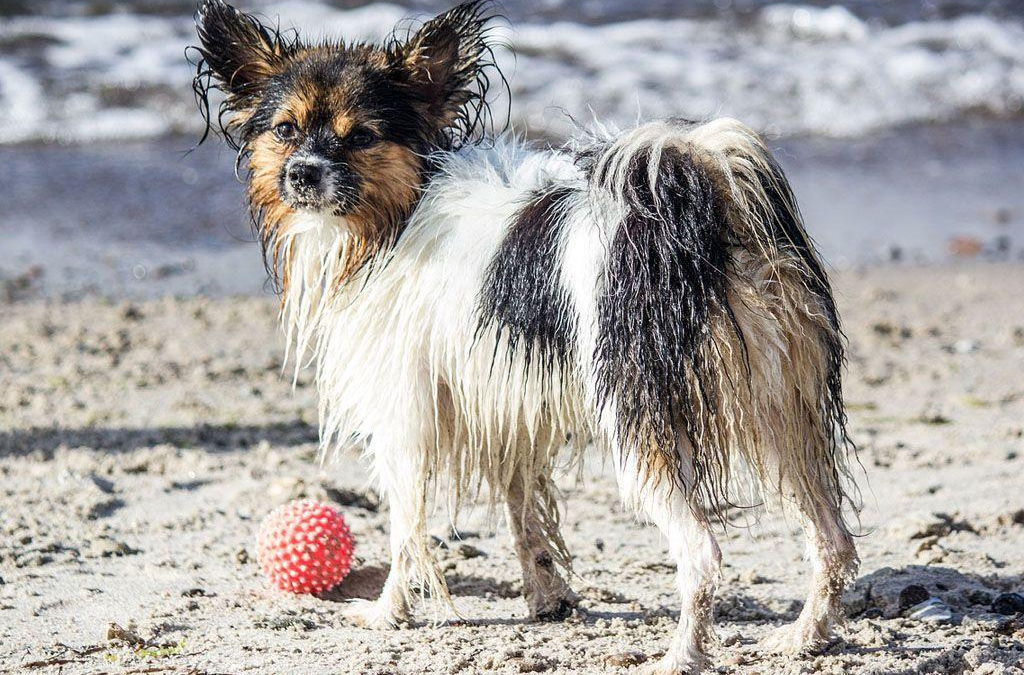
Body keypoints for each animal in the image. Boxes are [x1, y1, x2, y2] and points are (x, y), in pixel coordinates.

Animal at [193, 2, 864, 671]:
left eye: (360, 136)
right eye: (285, 130)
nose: (303, 174)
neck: (394, 218)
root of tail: (698, 222)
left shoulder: (406, 416)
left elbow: (407, 530)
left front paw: (388, 614)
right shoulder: (508, 402)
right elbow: (523, 511)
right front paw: (546, 596)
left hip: (643, 428)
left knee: (703, 554)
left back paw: (683, 655)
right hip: (780, 415)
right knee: (832, 539)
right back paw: (804, 637)